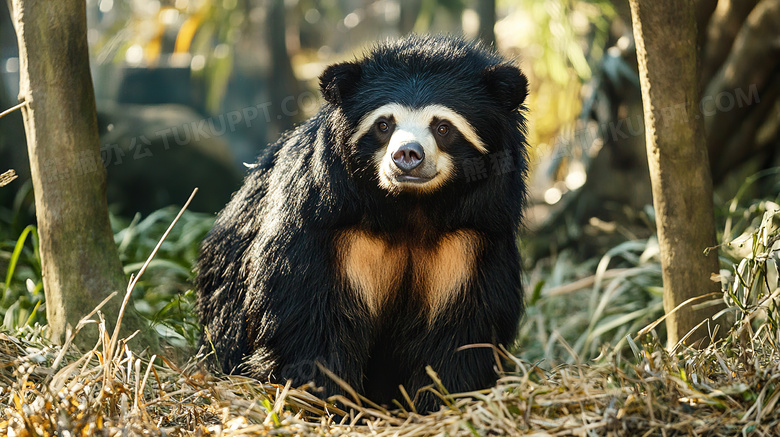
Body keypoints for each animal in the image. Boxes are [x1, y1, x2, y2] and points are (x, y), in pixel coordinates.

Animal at [195, 35, 532, 412]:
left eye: (443, 127)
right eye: (384, 124)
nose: (407, 155)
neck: (411, 208)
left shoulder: (472, 238)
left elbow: (465, 324)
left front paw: (444, 400)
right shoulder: (329, 225)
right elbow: (311, 314)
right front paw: (325, 401)